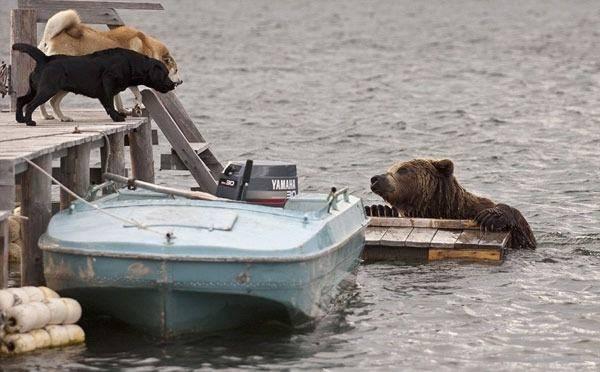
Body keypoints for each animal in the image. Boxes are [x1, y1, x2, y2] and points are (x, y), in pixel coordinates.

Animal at [11, 43, 176, 126]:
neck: (131, 63)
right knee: (31, 105)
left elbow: (135, 95)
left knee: (21, 100)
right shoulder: (107, 85)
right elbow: (110, 104)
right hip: (46, 90)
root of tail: (45, 59)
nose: (173, 85)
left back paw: (21, 119)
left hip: (42, 89)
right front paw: (117, 117)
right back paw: (29, 121)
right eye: (165, 74)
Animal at [38, 9, 182, 121]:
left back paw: (46, 115)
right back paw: (61, 117)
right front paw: (136, 107)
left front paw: (122, 110)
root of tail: (51, 38)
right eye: (175, 70)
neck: (146, 47)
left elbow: (118, 98)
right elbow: (138, 95)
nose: (180, 82)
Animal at [370, 158, 536, 248]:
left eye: (402, 169)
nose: (375, 178)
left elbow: (524, 233)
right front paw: (378, 209)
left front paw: (491, 216)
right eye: (390, 168)